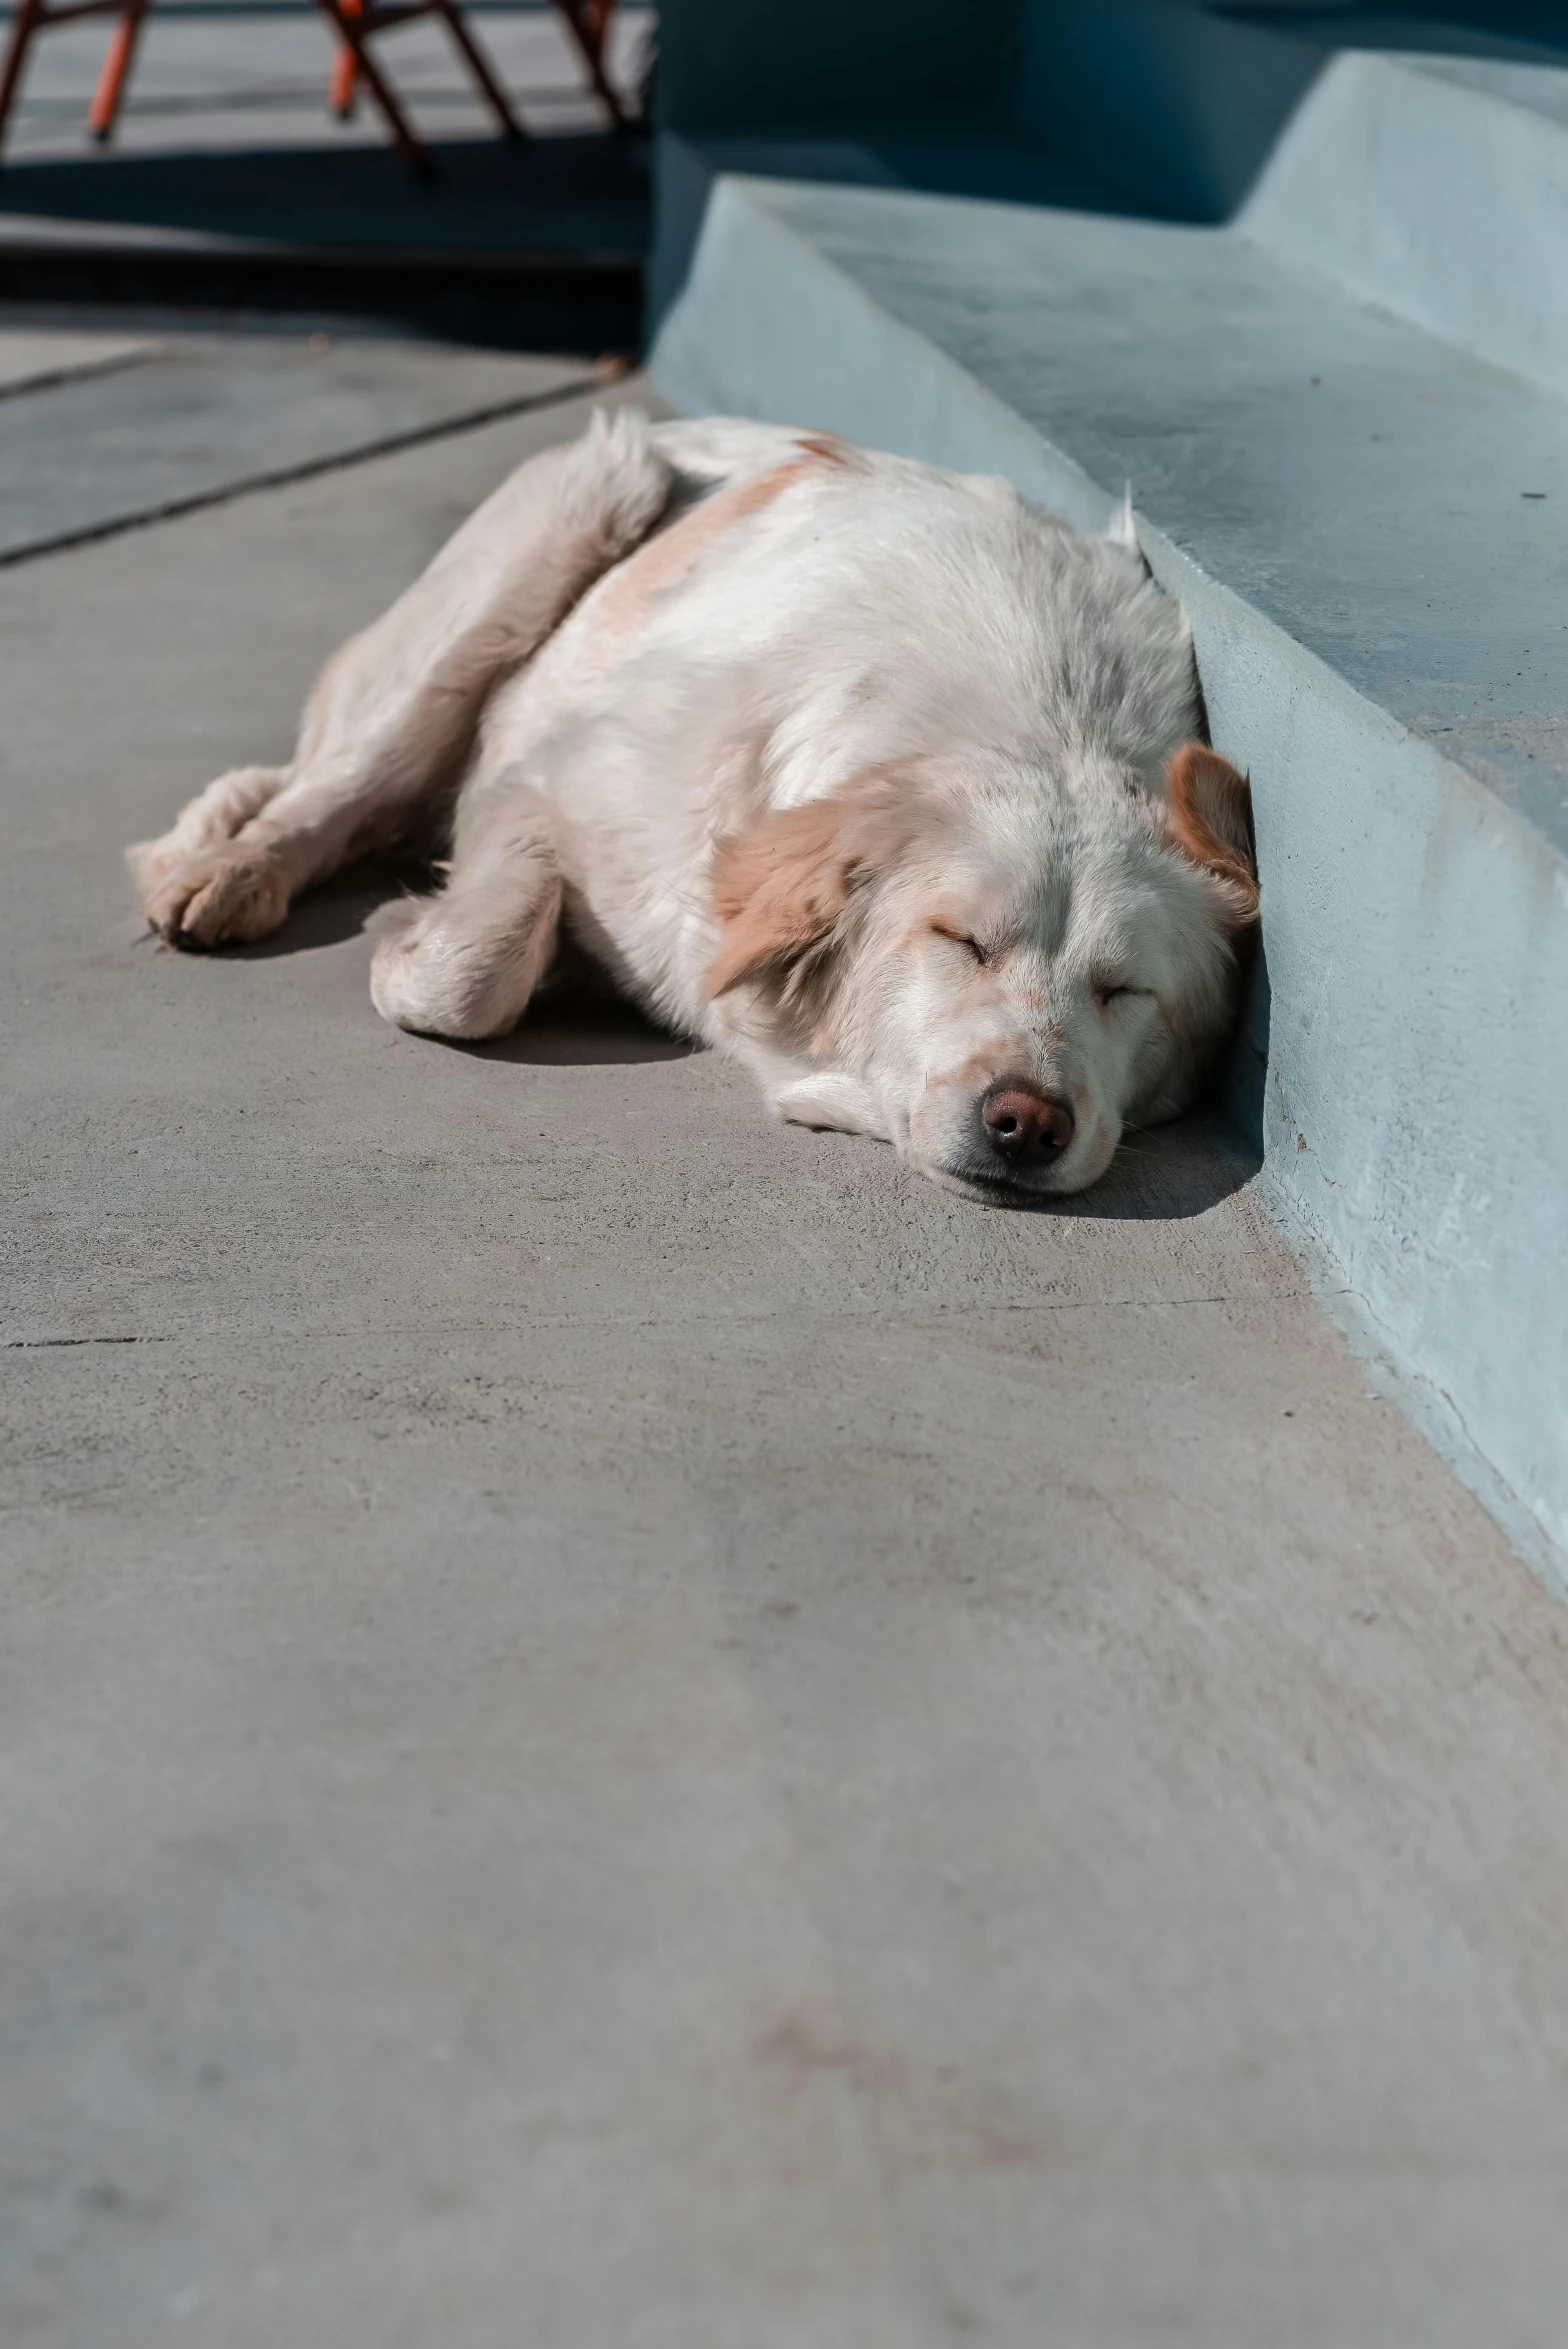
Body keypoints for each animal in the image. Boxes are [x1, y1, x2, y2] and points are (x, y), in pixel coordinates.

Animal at [128, 406, 1258, 1202]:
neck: (1042, 722)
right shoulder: (550, 780)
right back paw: (230, 872)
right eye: (959, 941)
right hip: (585, 498)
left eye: (1123, 992)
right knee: (336, 783)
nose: (1026, 1122)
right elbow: (476, 968)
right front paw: (411, 938)